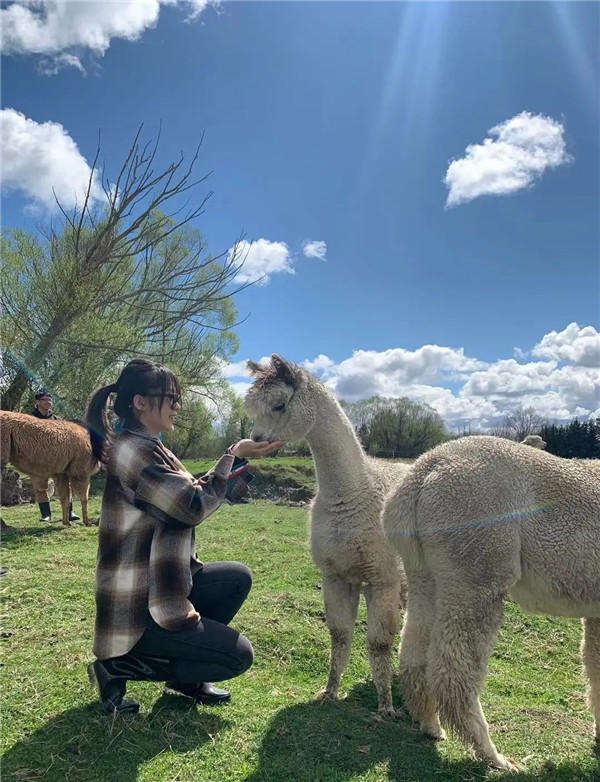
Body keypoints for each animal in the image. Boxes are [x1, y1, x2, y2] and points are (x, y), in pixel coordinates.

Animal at [245, 354, 409, 717]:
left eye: (279, 404)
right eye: (251, 409)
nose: (256, 440)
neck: (353, 493)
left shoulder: (383, 576)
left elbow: (378, 643)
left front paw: (386, 707)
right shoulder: (337, 574)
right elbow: (340, 635)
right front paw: (329, 691)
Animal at [382, 435, 600, 771]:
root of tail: (426, 467)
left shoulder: (595, 611)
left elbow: (594, 665)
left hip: (423, 570)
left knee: (414, 654)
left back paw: (431, 726)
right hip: (478, 560)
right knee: (455, 669)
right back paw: (493, 755)